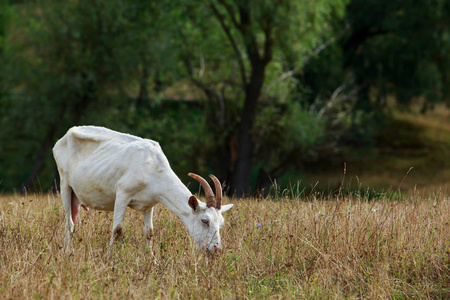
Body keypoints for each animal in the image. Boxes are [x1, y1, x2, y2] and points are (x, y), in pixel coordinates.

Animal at [53, 126, 232, 255]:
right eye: (204, 220)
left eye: (221, 223)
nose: (216, 250)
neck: (152, 165)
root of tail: (63, 139)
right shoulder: (122, 194)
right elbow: (117, 230)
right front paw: (108, 258)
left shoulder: (149, 204)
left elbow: (149, 233)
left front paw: (153, 262)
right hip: (65, 184)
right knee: (69, 223)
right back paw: (67, 253)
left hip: (76, 196)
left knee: (73, 219)